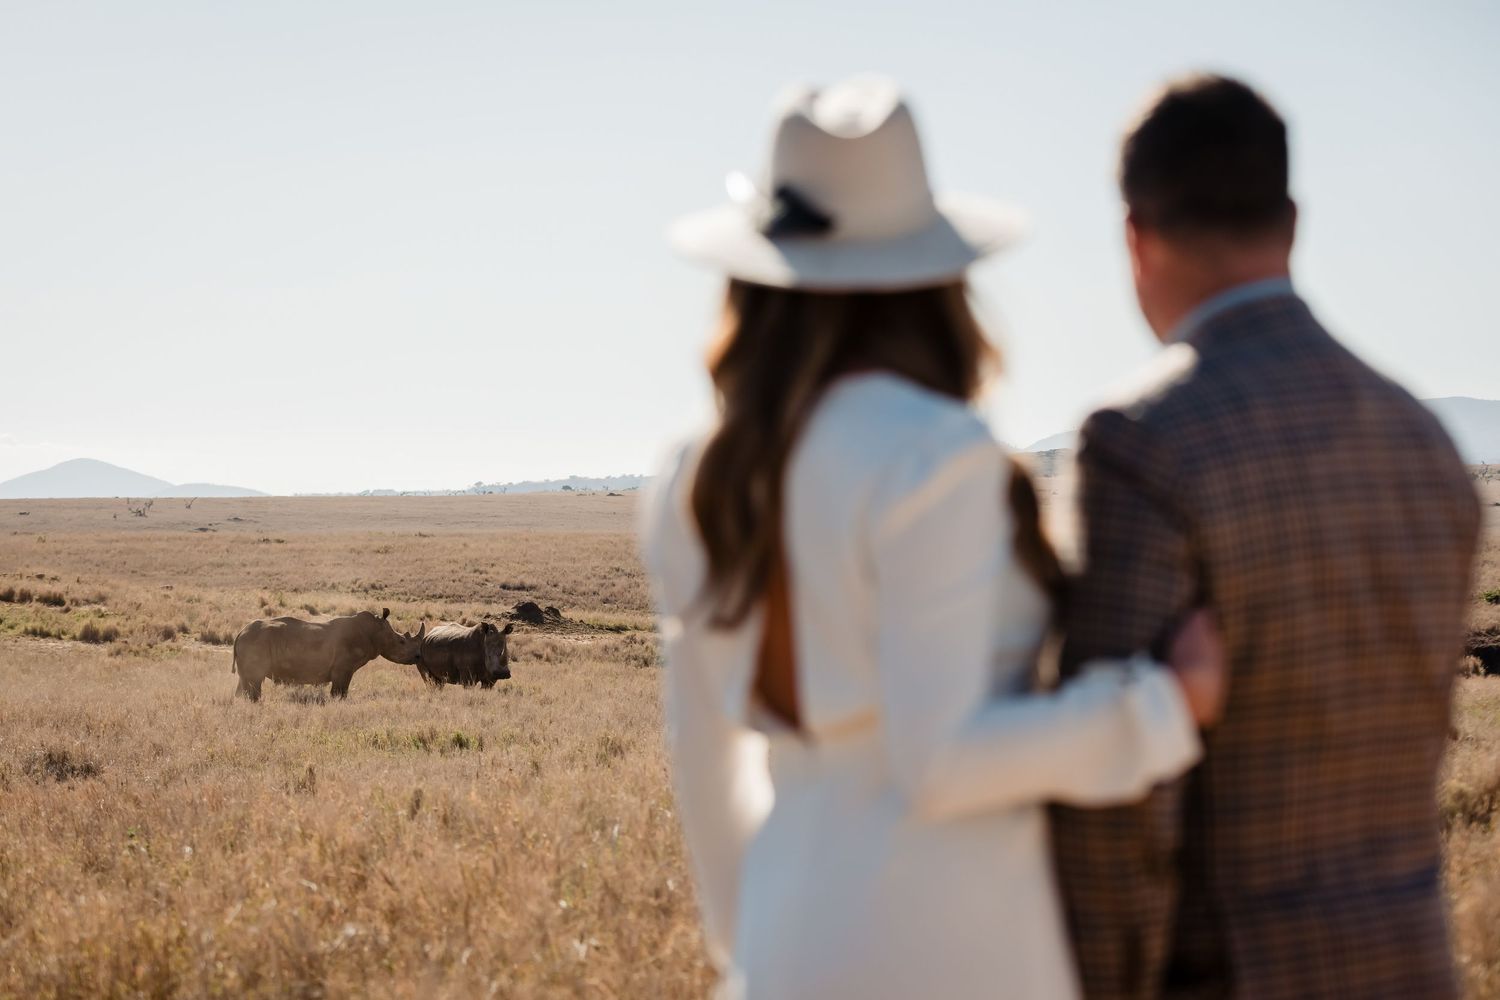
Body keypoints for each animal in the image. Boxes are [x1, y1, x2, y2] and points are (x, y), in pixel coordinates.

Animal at [232, 608, 424, 701]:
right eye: (401, 641)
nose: (417, 657)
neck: (375, 630)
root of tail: (240, 633)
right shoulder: (343, 668)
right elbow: (340, 692)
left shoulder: (343, 669)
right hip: (255, 642)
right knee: (254, 681)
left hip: (251, 642)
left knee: (244, 681)